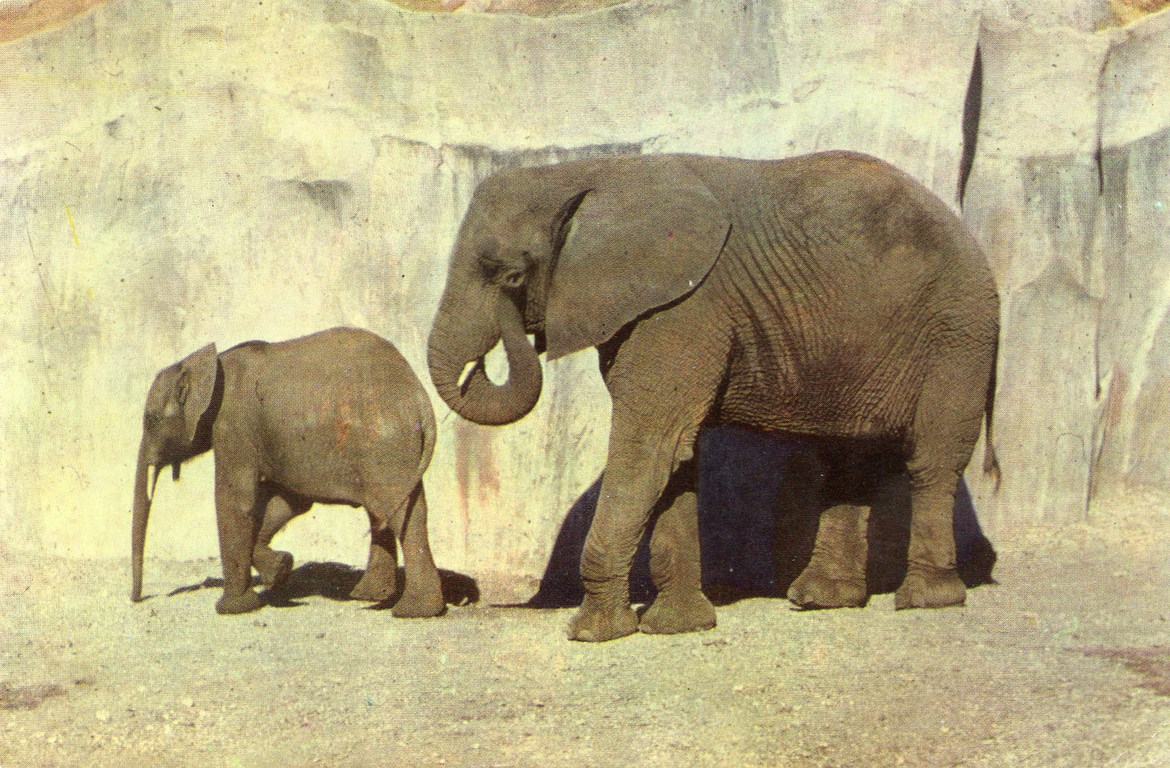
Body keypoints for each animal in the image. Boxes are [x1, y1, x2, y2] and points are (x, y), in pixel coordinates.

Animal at [131, 327, 446, 618]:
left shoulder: (234, 425)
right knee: (394, 509)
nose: (138, 599)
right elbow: (289, 503)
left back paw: (412, 612)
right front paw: (281, 568)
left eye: (151, 419)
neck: (206, 362)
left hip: (382, 444)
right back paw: (371, 596)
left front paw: (231, 609)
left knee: (399, 510)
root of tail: (418, 394)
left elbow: (236, 499)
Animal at [427, 150, 1000, 642]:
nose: (487, 358)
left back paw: (926, 599)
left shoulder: (686, 308)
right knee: (848, 464)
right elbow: (675, 459)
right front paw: (677, 628)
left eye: (510, 275)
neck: (590, 175)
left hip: (959, 331)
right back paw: (821, 599)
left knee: (932, 461)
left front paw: (593, 633)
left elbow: (650, 450)